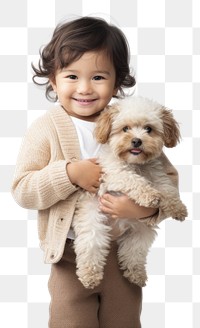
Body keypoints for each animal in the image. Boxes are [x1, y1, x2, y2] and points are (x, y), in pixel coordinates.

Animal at [72, 96, 188, 288]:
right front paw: (150, 196)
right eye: (125, 128)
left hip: (141, 230)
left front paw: (177, 208)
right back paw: (90, 276)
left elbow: (168, 188)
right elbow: (133, 181)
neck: (136, 164)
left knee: (133, 253)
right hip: (93, 222)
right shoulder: (114, 174)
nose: (136, 141)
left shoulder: (157, 175)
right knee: (91, 247)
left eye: (148, 129)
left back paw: (136, 274)